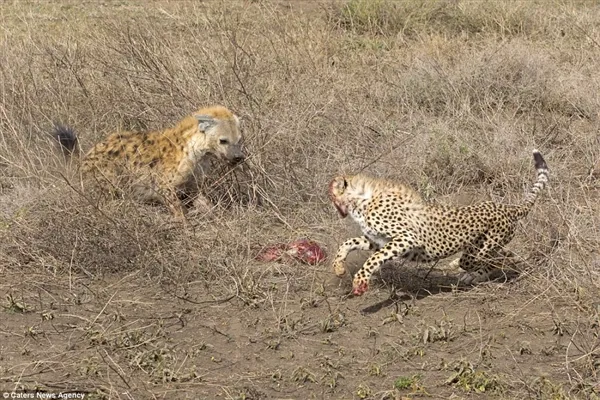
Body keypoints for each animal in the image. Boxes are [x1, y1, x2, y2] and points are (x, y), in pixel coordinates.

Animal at [54, 104, 245, 216]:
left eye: (239, 140)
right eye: (223, 140)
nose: (238, 157)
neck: (197, 154)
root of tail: (84, 160)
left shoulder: (193, 185)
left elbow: (205, 203)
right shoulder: (164, 186)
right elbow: (179, 211)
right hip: (108, 181)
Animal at [328, 150, 548, 296]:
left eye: (331, 192)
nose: (329, 201)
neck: (362, 200)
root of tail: (508, 207)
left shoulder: (407, 238)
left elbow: (373, 259)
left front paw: (360, 280)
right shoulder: (379, 240)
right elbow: (348, 242)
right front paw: (338, 267)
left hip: (480, 249)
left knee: (496, 259)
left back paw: (474, 271)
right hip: (479, 248)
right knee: (497, 256)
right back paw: (471, 273)